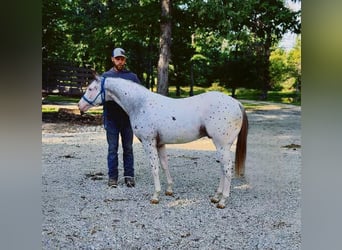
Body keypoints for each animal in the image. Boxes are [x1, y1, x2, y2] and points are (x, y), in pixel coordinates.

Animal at [78, 75, 248, 208]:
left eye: (91, 89)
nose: (80, 106)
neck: (140, 104)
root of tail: (236, 103)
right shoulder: (160, 144)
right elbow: (165, 165)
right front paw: (169, 190)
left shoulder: (149, 142)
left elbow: (154, 168)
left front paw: (155, 196)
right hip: (222, 147)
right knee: (223, 169)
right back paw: (215, 197)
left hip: (222, 145)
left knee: (227, 169)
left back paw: (222, 201)